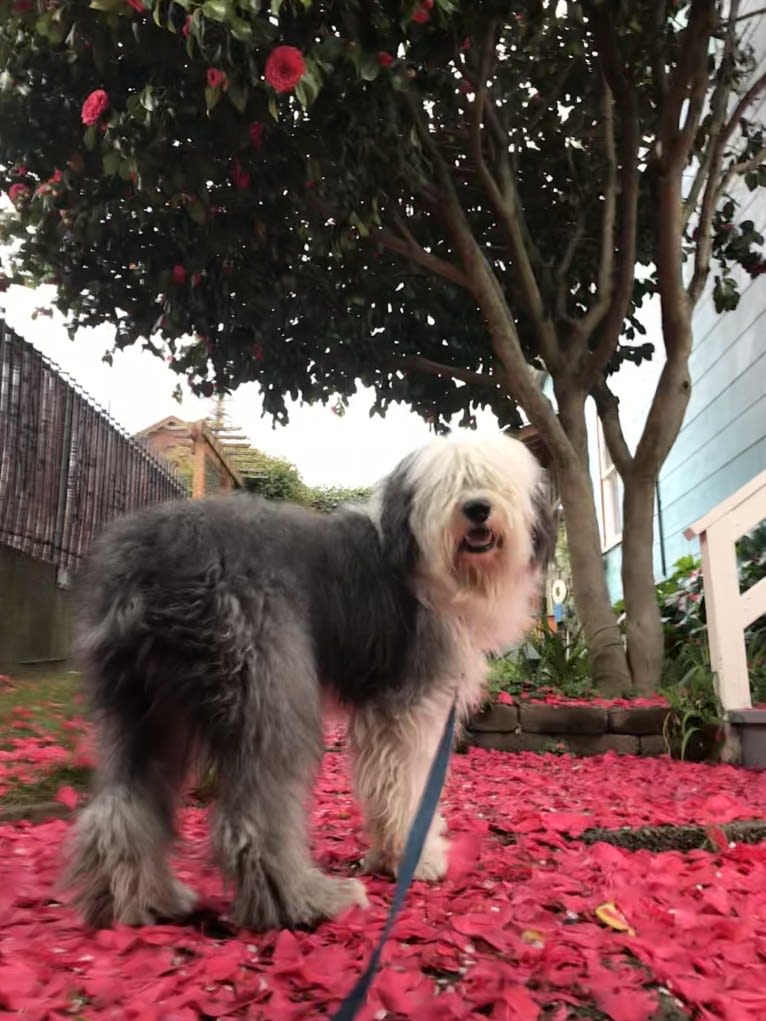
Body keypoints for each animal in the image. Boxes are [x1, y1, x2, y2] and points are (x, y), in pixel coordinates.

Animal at [67, 430, 551, 935]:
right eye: (451, 483)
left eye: (493, 480)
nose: (477, 508)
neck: (428, 562)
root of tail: (155, 557)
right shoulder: (406, 705)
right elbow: (402, 784)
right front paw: (414, 858)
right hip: (268, 687)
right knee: (255, 818)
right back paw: (308, 901)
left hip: (143, 706)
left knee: (122, 804)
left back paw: (143, 900)